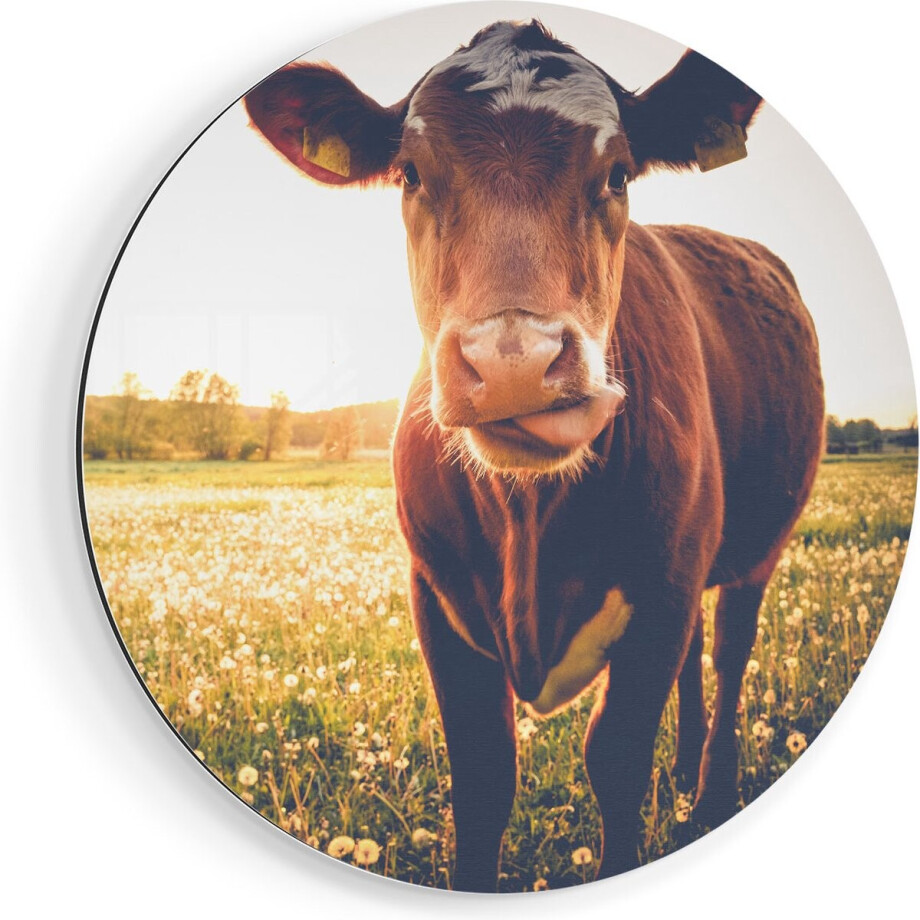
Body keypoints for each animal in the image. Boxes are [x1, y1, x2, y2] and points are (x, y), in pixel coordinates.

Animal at [245, 20, 824, 891]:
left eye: (617, 173)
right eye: (411, 173)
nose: (513, 360)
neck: (530, 518)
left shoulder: (662, 589)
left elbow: (614, 758)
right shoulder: (435, 595)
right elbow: (484, 777)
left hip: (754, 548)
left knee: (728, 652)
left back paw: (709, 793)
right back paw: (684, 770)